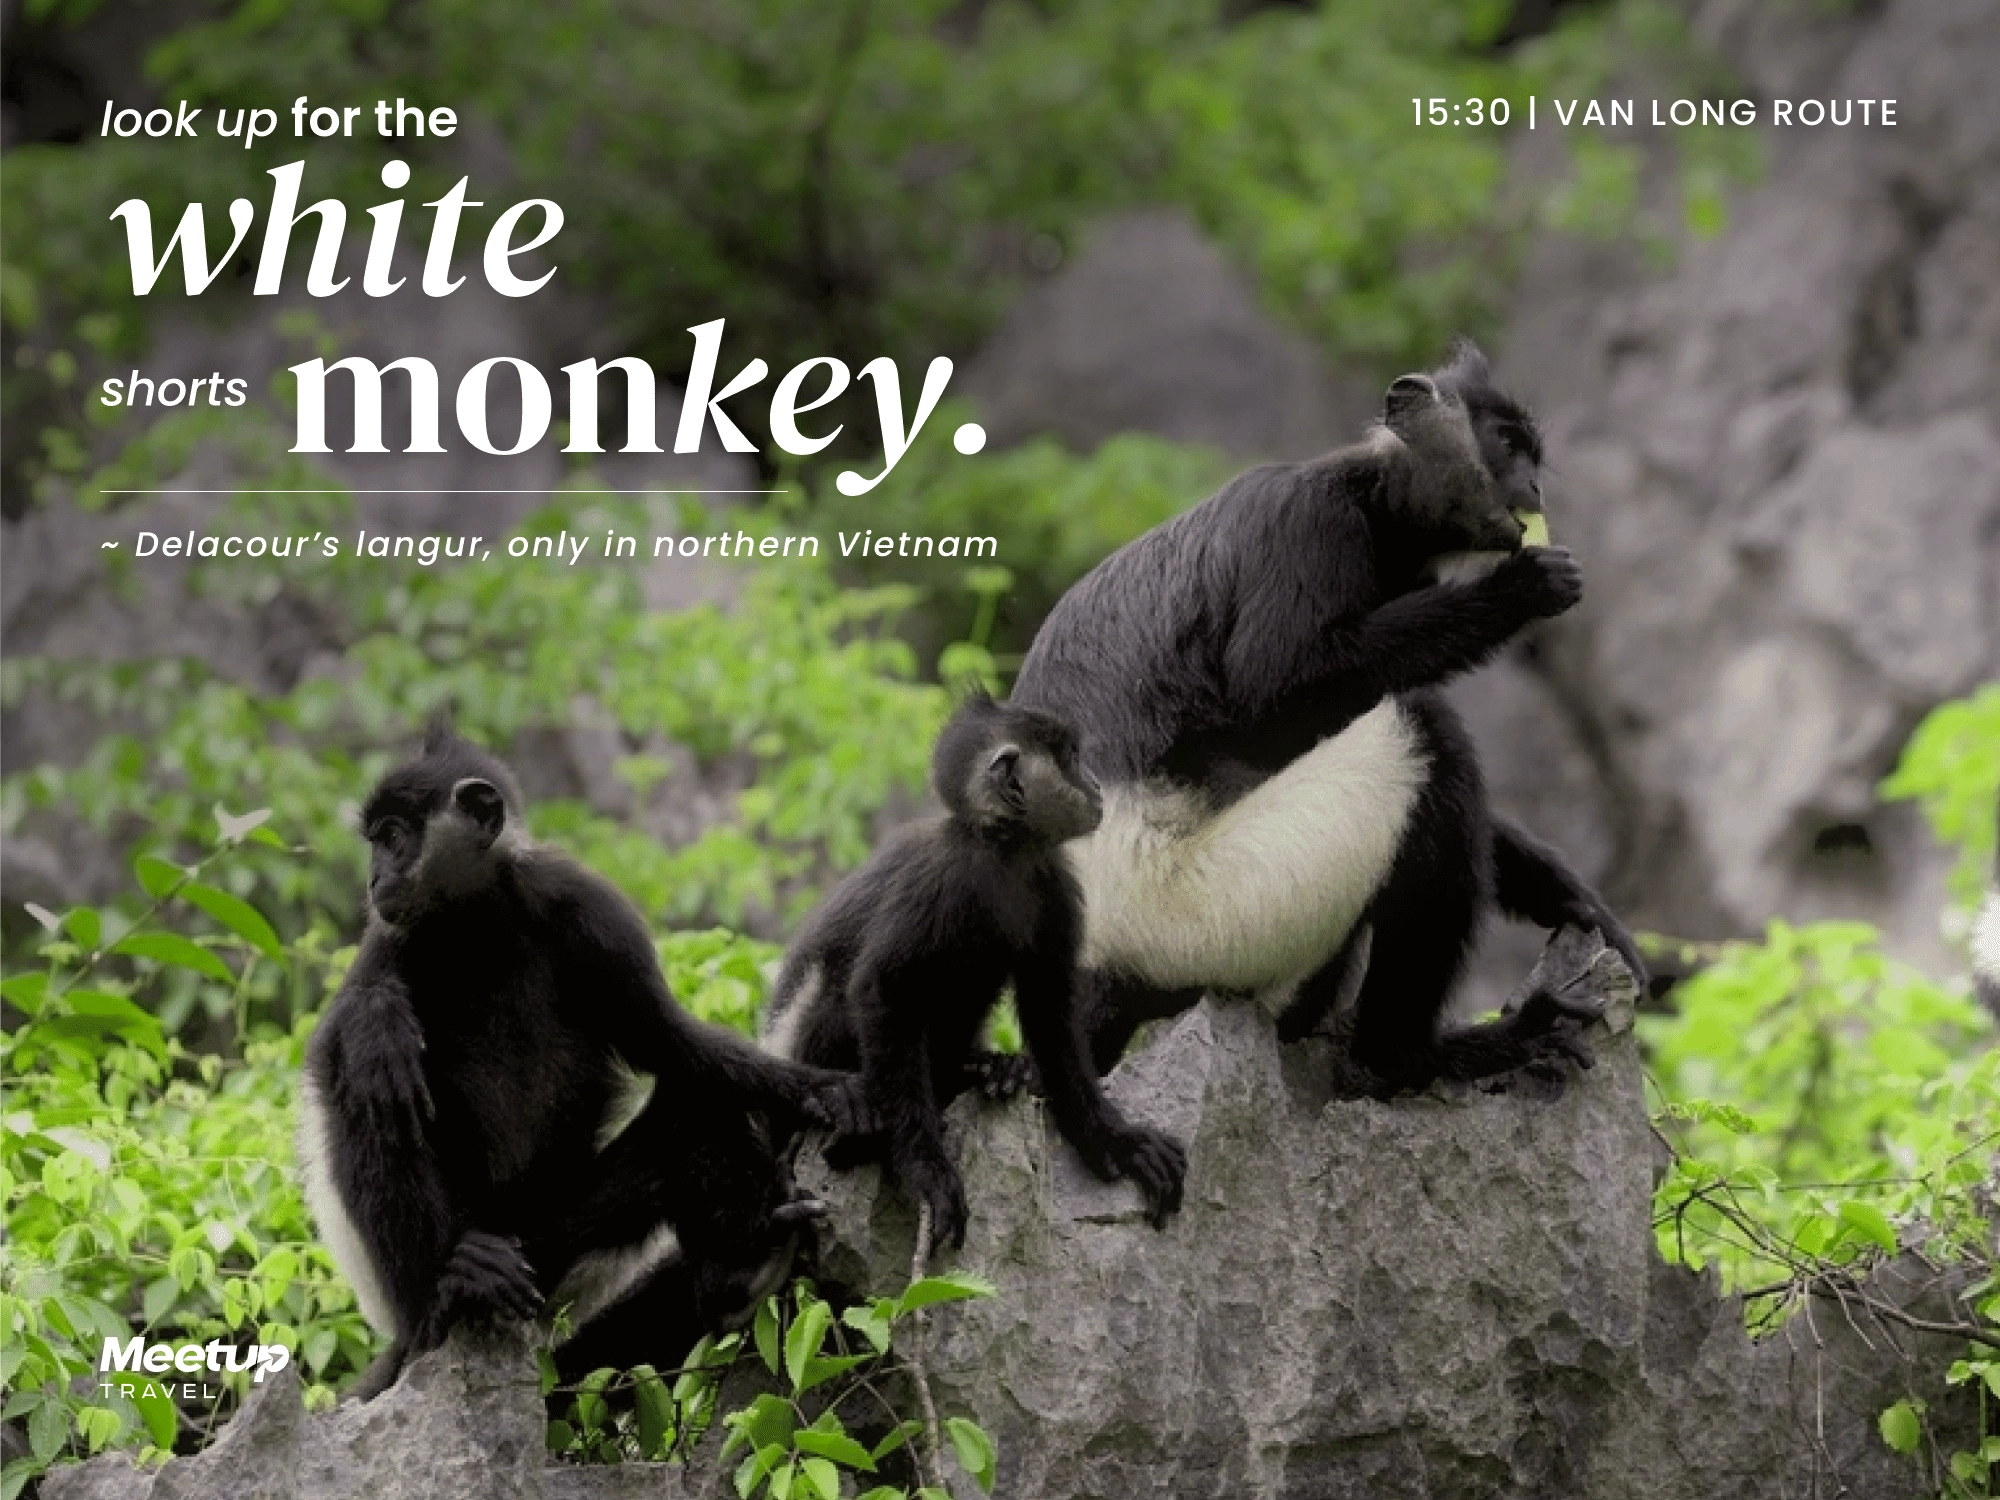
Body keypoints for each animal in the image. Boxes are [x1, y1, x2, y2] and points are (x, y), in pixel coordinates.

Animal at [297, 724, 869, 1399]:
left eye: (392, 838)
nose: (373, 879)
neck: (478, 918)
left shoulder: (586, 908)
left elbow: (674, 1043)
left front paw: (827, 1091)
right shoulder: (393, 934)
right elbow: (340, 1033)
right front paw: (376, 1018)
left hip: (549, 1250)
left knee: (692, 1109)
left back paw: (739, 1273)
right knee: (364, 1078)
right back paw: (448, 1293)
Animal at [762, 695, 1186, 1248]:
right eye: (1071, 758)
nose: (1095, 784)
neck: (1004, 854)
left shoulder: (1053, 884)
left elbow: (1051, 1011)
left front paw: (1112, 1138)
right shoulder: (948, 877)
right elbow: (882, 987)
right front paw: (927, 1168)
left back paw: (985, 1071)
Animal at [1009, 339, 1645, 1094]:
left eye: (1532, 458)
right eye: (1508, 444)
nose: (1536, 492)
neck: (1374, 506)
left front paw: (1576, 905)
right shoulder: (1306, 523)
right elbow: (1267, 698)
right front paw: (1520, 589)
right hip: (1215, 913)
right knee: (1426, 729)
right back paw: (1412, 1056)